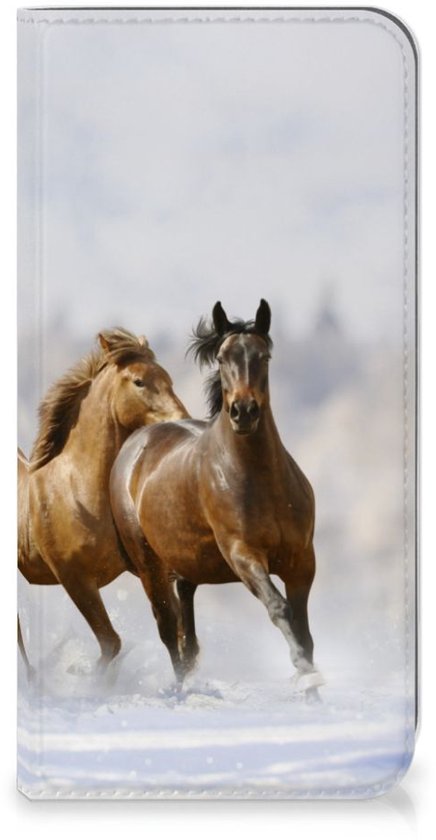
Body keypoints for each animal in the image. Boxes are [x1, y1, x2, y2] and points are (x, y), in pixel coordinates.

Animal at [18, 328, 188, 675]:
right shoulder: (75, 579)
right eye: (139, 381)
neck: (77, 492)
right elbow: (111, 643)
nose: (182, 420)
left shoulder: (148, 569)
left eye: (168, 378)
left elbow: (173, 630)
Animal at [110, 301, 323, 700]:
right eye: (223, 358)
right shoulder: (243, 554)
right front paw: (306, 677)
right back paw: (180, 691)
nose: (244, 411)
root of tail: (136, 443)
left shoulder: (302, 560)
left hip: (187, 564)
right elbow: (279, 609)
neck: (261, 481)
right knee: (168, 629)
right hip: (149, 565)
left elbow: (304, 629)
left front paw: (314, 690)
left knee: (186, 631)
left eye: (264, 356)